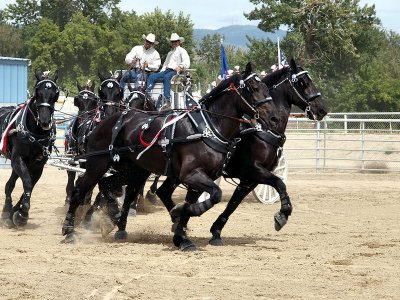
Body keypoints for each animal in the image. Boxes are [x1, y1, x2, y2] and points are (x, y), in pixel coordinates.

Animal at [0, 70, 59, 226]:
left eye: (55, 95)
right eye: (37, 92)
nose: (45, 121)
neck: (35, 134)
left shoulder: (38, 165)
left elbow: (30, 185)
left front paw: (16, 212)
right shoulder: (18, 159)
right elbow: (26, 181)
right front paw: (21, 213)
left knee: (10, 184)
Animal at [61, 62, 278, 248]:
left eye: (266, 87)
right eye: (252, 87)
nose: (274, 117)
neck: (208, 126)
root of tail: (101, 122)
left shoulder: (201, 176)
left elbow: (199, 200)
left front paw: (182, 231)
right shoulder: (190, 174)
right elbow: (214, 194)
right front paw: (182, 218)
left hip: (131, 170)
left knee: (108, 185)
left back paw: (112, 218)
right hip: (97, 165)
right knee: (79, 190)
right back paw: (70, 230)